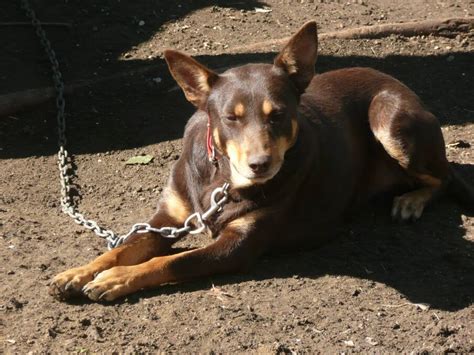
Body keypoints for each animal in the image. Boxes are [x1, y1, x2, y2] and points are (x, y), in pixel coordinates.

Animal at [50, 20, 472, 302]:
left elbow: (170, 262)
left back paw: (411, 201)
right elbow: (122, 246)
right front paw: (79, 272)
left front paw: (114, 279)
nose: (260, 164)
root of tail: (400, 84)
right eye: (230, 118)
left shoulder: (238, 245)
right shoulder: (169, 217)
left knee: (445, 176)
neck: (222, 178)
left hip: (390, 121)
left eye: (279, 115)